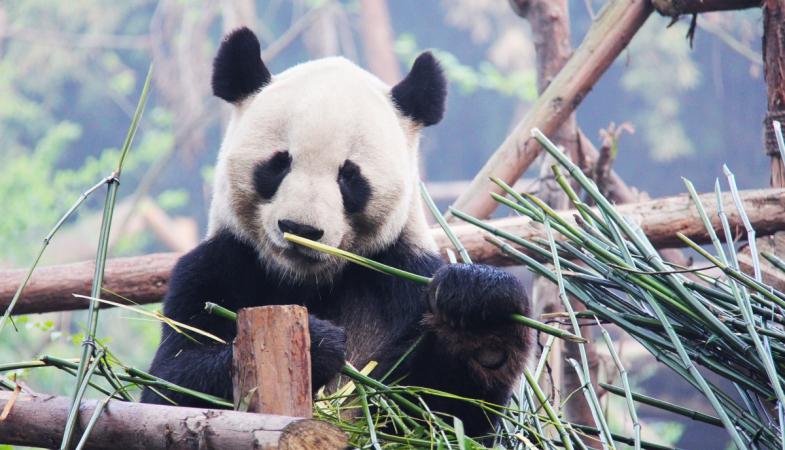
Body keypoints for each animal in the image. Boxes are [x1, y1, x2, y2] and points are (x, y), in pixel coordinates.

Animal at [142, 27, 532, 437]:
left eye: (349, 176)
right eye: (279, 164)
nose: (300, 228)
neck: (306, 282)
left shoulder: (403, 277)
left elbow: (441, 415)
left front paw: (480, 310)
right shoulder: (214, 267)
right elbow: (169, 385)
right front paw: (317, 343)